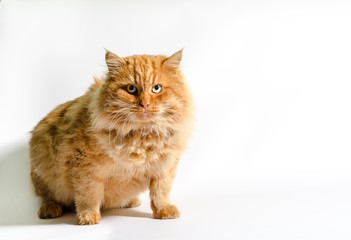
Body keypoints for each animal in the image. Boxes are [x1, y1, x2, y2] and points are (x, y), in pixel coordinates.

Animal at [29, 49, 195, 225]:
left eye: (156, 88)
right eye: (131, 89)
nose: (144, 104)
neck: (140, 136)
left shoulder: (165, 167)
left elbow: (161, 193)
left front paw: (164, 210)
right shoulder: (86, 167)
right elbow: (89, 195)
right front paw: (88, 216)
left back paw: (130, 201)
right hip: (43, 172)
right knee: (47, 197)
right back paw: (50, 209)